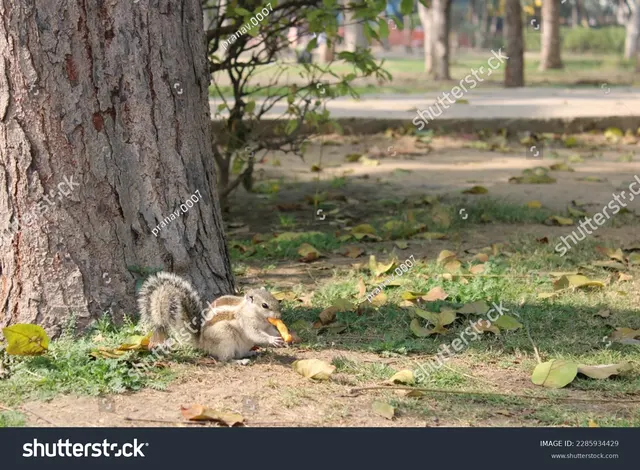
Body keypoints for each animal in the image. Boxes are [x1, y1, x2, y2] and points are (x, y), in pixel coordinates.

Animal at [137, 272, 286, 362]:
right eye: (264, 305)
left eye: (275, 299)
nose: (279, 315)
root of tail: (202, 342)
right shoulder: (246, 322)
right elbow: (255, 334)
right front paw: (272, 340)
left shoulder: (267, 325)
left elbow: (270, 331)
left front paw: (281, 337)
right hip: (225, 338)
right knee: (225, 359)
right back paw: (240, 361)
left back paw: (250, 353)